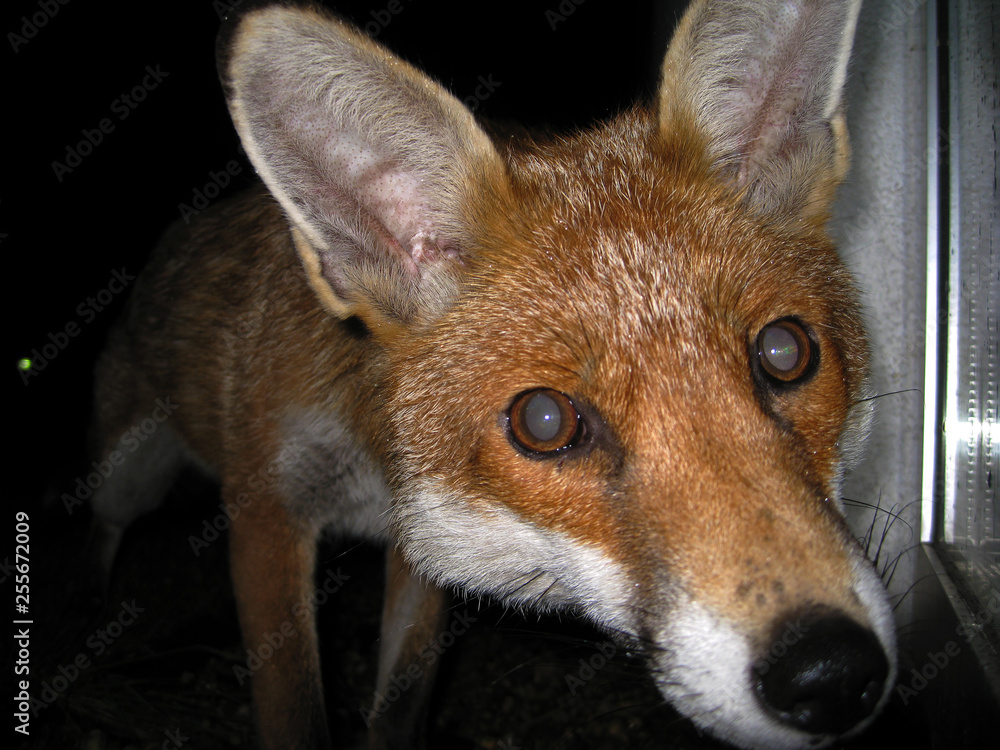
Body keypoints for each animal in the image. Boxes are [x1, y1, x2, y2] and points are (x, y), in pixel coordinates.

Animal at [86, 0, 897, 748]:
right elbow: (295, 716)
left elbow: (397, 713)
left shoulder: (421, 563)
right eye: (544, 422)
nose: (831, 672)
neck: (377, 471)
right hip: (127, 480)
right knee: (100, 539)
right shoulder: (266, 515)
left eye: (785, 352)